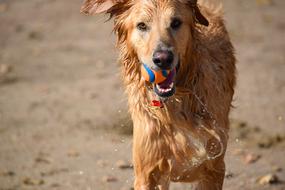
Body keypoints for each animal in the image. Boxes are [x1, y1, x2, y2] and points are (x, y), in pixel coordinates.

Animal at [80, 0, 235, 189]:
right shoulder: (147, 172)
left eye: (176, 22)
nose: (163, 59)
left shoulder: (213, 169)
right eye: (142, 25)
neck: (175, 104)